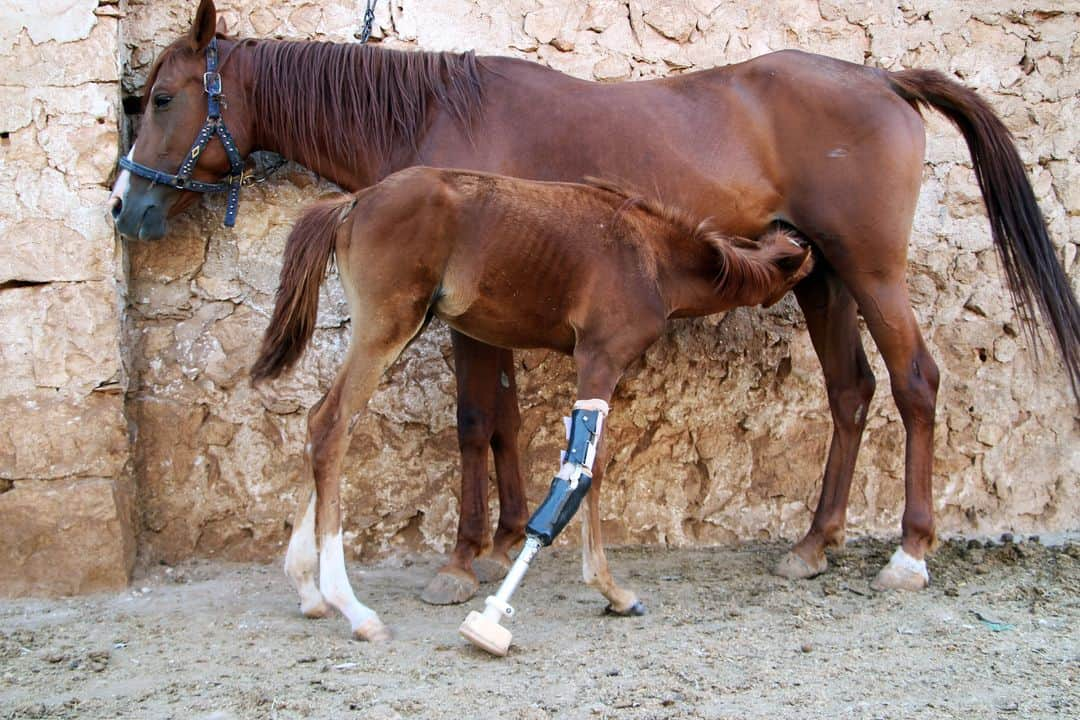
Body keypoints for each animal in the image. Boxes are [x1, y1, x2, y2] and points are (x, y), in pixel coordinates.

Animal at [247, 170, 812, 643]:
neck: (652, 256)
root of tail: (355, 201)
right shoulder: (600, 358)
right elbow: (587, 471)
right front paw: (611, 591)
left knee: (320, 420)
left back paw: (308, 590)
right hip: (385, 329)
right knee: (332, 426)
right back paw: (352, 608)